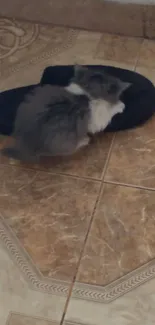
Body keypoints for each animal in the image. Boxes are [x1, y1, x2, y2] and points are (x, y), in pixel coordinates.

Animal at [1, 66, 130, 162]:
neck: (87, 93)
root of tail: (23, 146)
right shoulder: (97, 119)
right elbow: (108, 113)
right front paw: (120, 105)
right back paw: (84, 140)